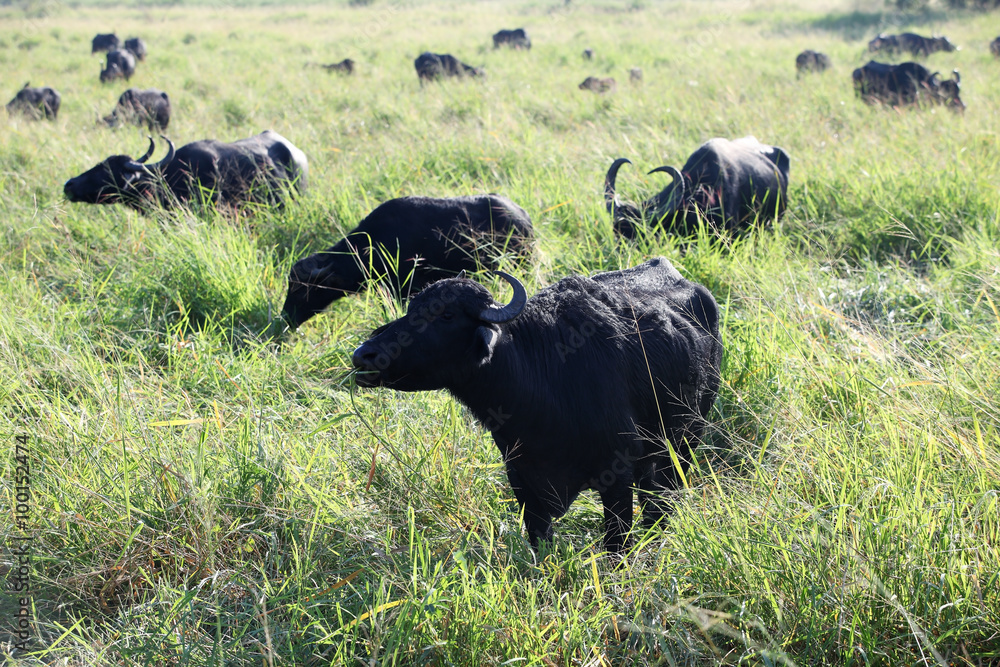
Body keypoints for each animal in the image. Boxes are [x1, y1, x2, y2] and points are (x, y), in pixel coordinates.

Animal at [356, 258, 724, 556]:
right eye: (411, 309)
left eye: (446, 315)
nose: (364, 355)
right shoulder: (523, 481)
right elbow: (541, 546)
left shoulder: (617, 477)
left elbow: (616, 547)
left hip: (687, 440)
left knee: (663, 499)